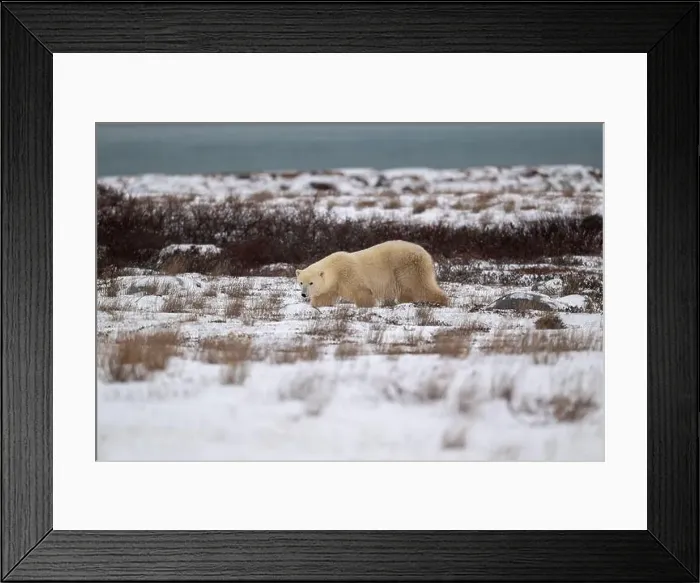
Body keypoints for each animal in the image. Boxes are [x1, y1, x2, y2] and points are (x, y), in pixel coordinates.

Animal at [295, 240, 449, 308]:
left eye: (311, 282)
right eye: (301, 282)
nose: (303, 294)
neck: (335, 268)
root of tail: (425, 253)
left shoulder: (349, 274)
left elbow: (362, 292)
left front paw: (366, 306)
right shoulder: (333, 286)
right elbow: (324, 297)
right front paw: (316, 305)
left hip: (407, 267)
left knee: (420, 285)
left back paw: (441, 301)